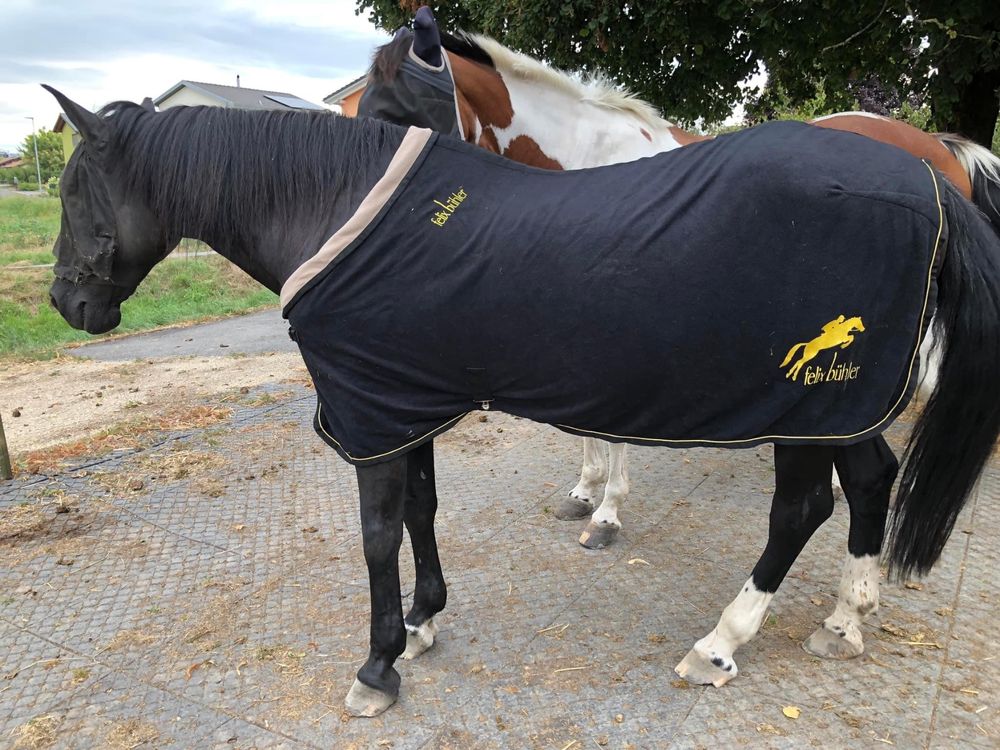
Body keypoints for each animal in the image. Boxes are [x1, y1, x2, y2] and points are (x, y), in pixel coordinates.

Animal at [43, 85, 1000, 718]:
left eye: (74, 189)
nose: (66, 303)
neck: (339, 211)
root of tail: (928, 183)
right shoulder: (405, 402)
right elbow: (422, 511)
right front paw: (424, 623)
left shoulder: (370, 415)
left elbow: (377, 534)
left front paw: (377, 667)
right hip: (842, 407)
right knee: (871, 482)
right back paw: (845, 621)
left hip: (799, 409)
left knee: (802, 510)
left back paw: (721, 644)